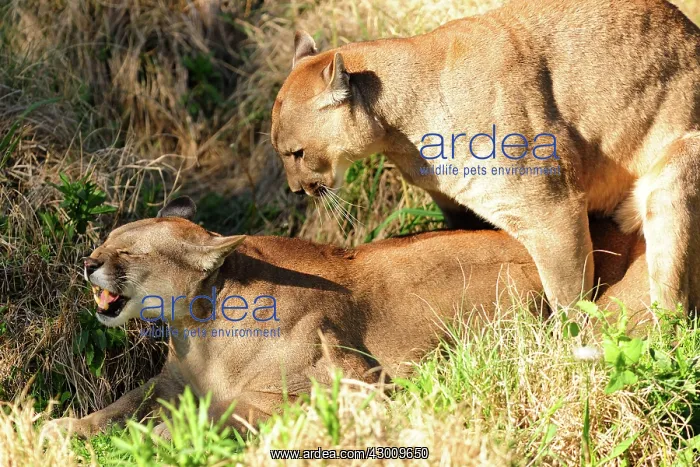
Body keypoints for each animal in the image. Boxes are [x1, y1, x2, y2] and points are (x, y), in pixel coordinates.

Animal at [47, 197, 650, 438]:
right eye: (106, 239)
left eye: (130, 252)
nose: (88, 262)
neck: (198, 328)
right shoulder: (169, 381)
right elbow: (121, 404)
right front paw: (63, 427)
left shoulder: (341, 384)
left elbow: (227, 411)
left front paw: (163, 435)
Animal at [270, 0, 700, 312]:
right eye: (281, 153)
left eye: (297, 153)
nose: (294, 190)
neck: (399, 133)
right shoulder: (453, 203)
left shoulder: (552, 209)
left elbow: (569, 293)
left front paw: (565, 340)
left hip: (673, 175)